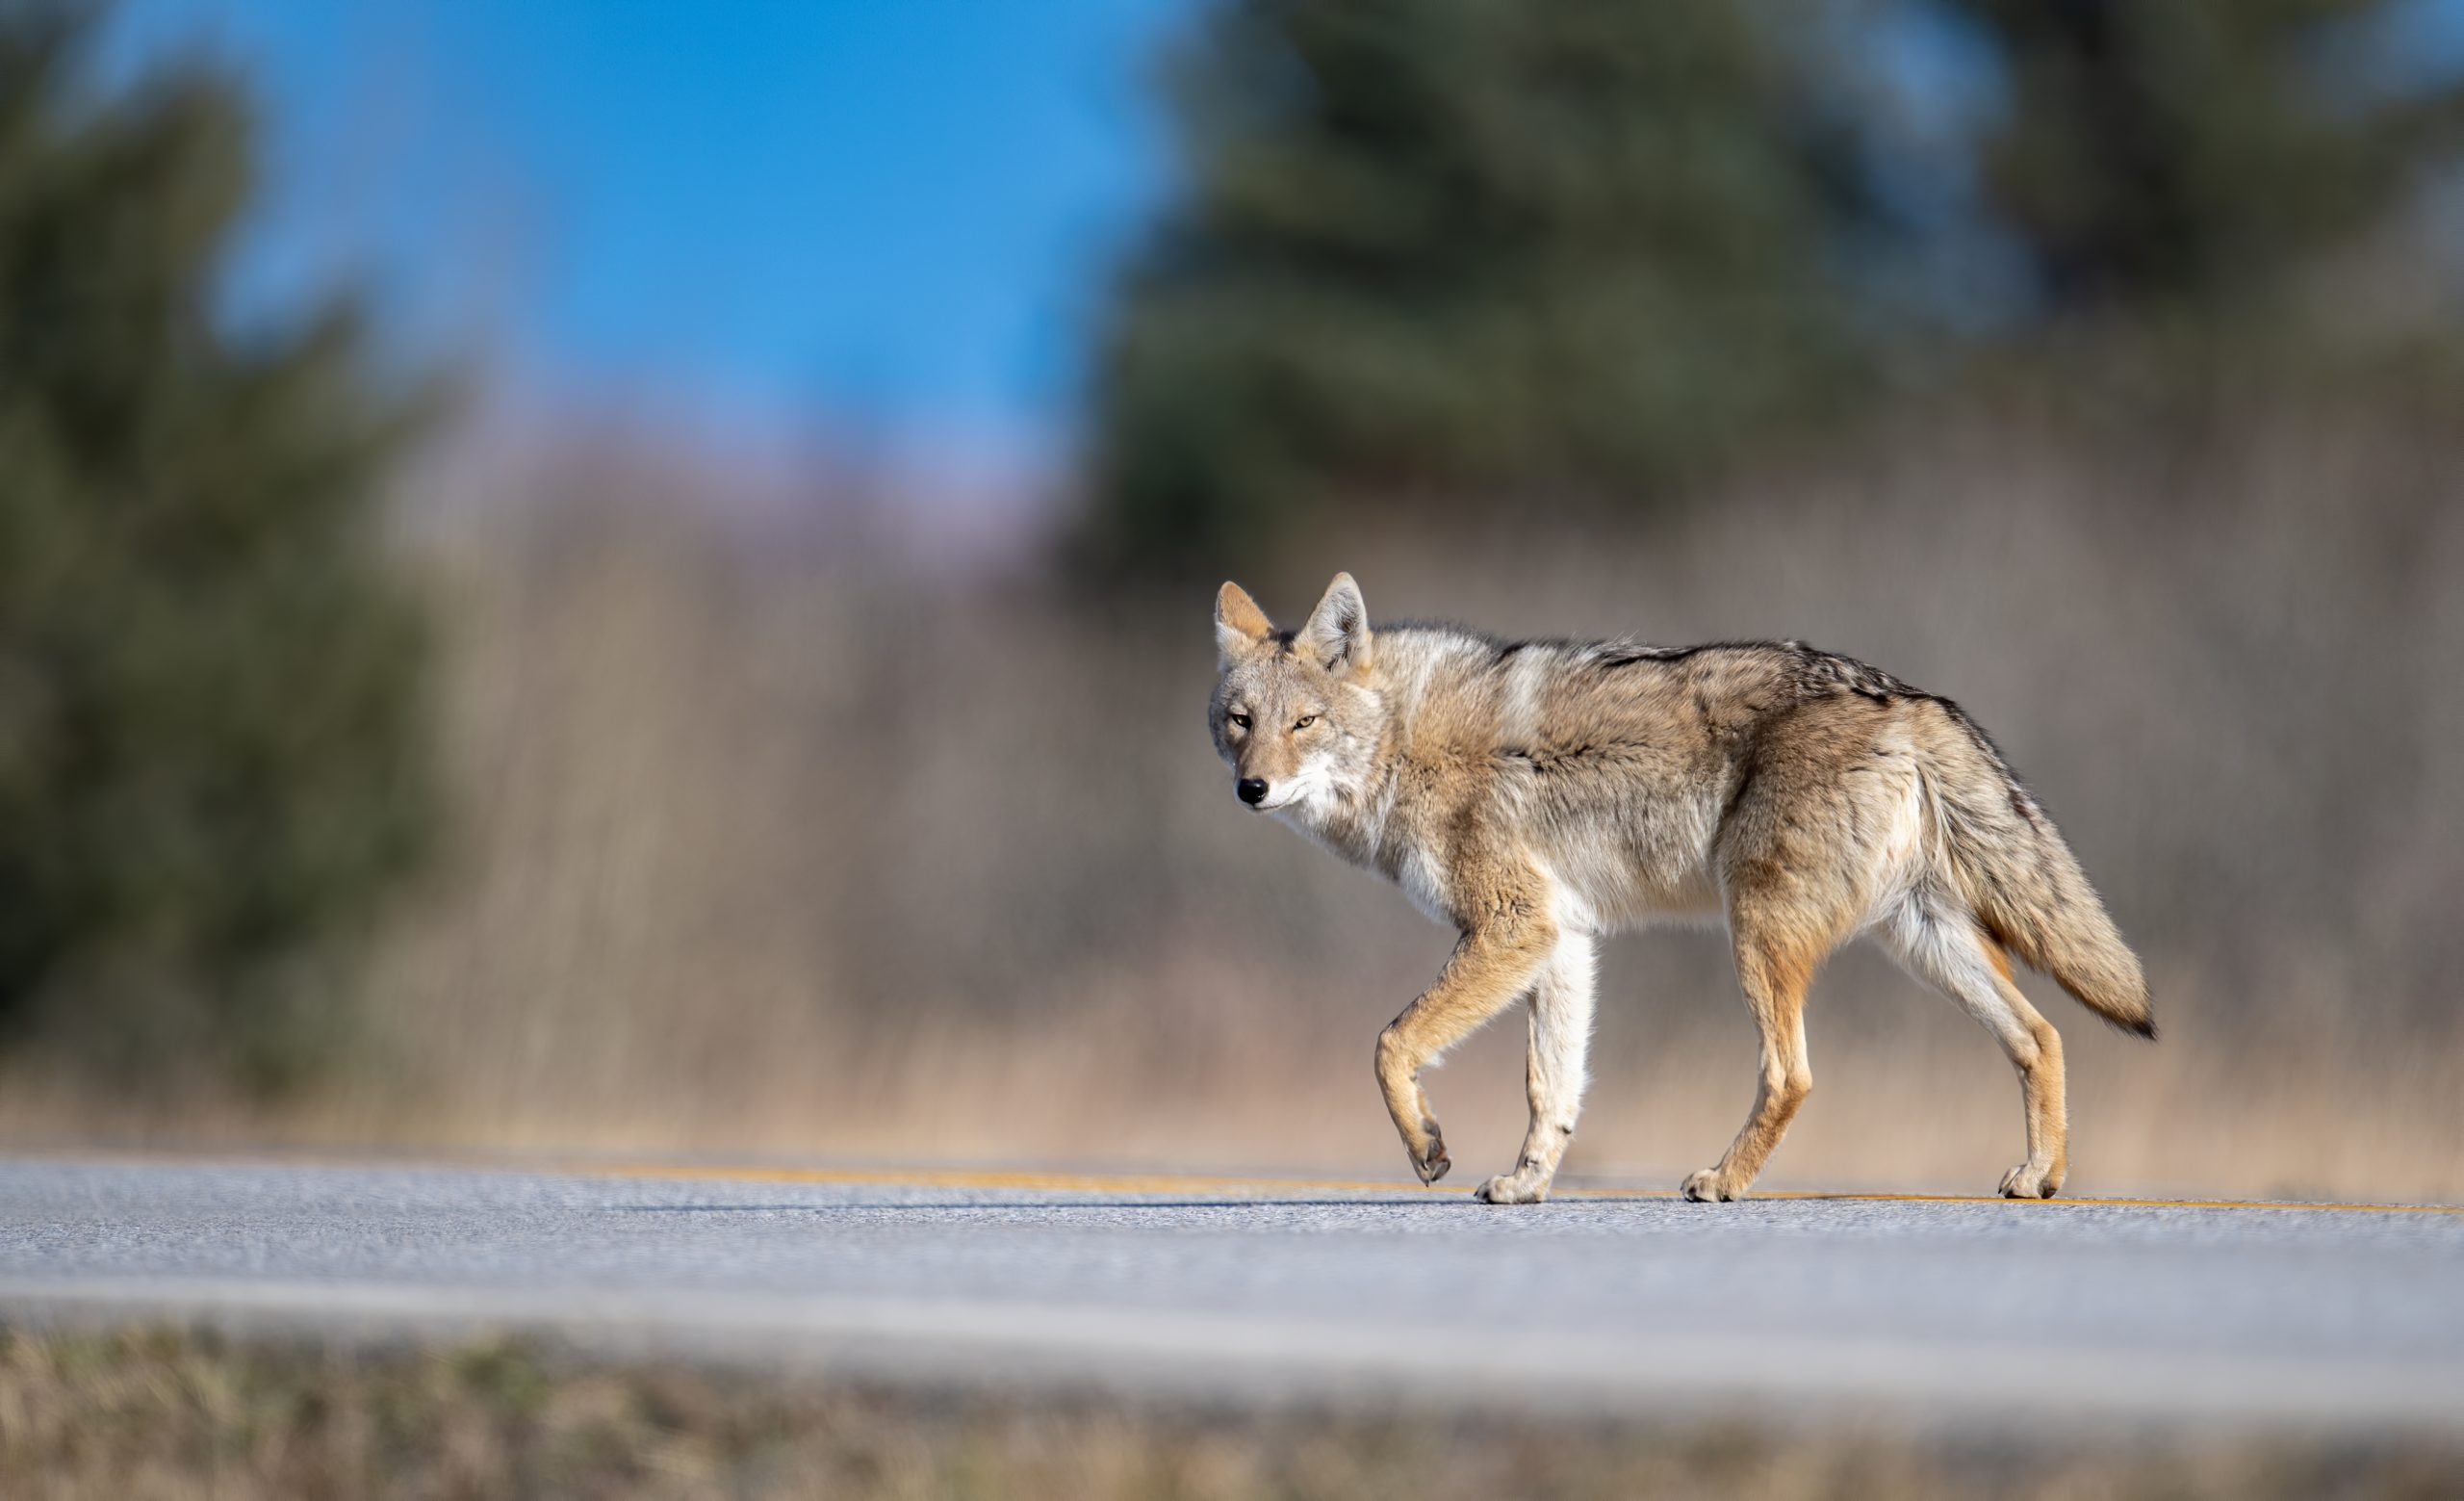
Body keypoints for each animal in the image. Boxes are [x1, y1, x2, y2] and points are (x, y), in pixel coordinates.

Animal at [1210, 572, 2153, 1203]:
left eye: (1305, 723)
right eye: (1240, 722)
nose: (1250, 789)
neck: (1406, 740)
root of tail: (1910, 698)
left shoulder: (1513, 926)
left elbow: (1391, 1043)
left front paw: (1428, 1149)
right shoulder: (1560, 941)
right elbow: (1551, 1090)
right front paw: (1526, 1183)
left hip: (1759, 933)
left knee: (1793, 1074)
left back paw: (1722, 1181)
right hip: (1921, 942)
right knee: (2040, 1035)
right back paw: (2041, 1174)